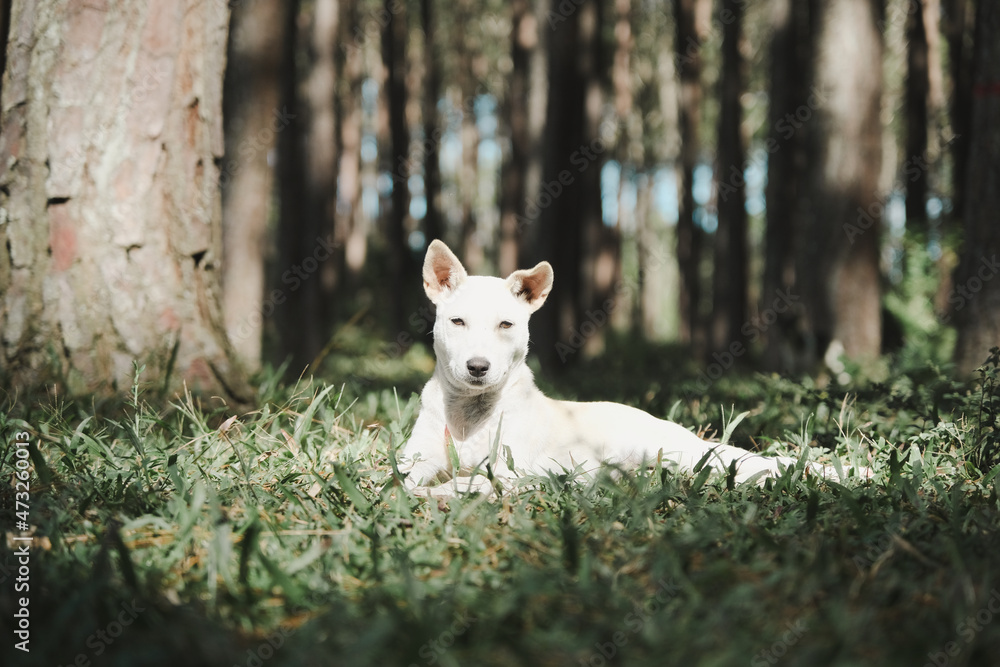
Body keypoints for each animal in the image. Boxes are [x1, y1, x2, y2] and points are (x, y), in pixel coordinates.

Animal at [398, 239, 868, 496]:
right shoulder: (417, 455)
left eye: (506, 325)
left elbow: (477, 480)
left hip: (694, 456)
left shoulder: (516, 468)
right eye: (457, 322)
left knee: (764, 464)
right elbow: (403, 475)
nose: (478, 368)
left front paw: (446, 492)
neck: (469, 416)